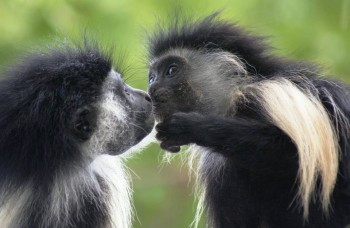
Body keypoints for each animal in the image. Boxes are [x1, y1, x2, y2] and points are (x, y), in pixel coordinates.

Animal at [147, 14, 350, 228]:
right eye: (152, 77)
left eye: (171, 70)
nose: (151, 88)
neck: (239, 96)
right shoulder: (216, 169)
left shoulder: (273, 96)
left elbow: (292, 153)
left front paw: (189, 127)